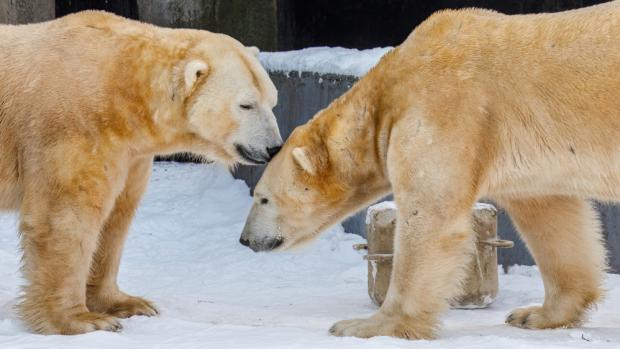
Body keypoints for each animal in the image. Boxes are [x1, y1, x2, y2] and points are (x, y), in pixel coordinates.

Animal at [0, 10, 280, 332]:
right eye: (246, 105)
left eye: (273, 100)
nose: (274, 147)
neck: (119, 89)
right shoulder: (72, 126)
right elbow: (65, 216)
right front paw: (83, 320)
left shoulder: (130, 153)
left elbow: (116, 216)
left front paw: (127, 303)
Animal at [240, 0, 620, 340]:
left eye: (262, 198)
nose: (245, 239)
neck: (390, 91)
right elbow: (551, 216)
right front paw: (535, 314)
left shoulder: (444, 109)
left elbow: (429, 218)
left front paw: (365, 326)